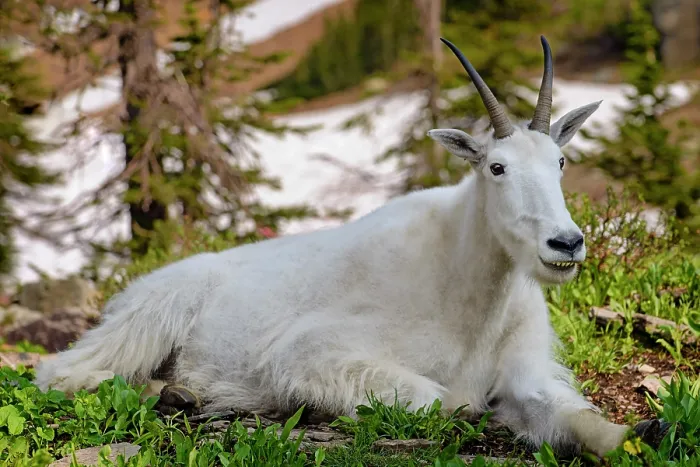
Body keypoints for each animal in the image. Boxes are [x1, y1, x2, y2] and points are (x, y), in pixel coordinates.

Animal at [36, 36, 638, 457]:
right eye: (496, 167)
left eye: (560, 161)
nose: (566, 244)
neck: (470, 292)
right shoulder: (311, 353)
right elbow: (442, 398)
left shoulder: (526, 375)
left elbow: (571, 414)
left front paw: (638, 433)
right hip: (147, 320)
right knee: (61, 372)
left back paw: (180, 393)